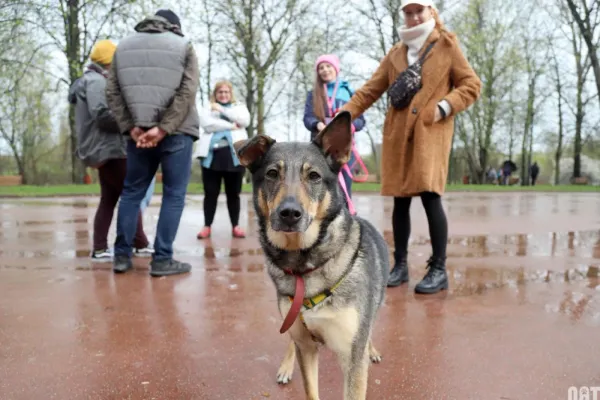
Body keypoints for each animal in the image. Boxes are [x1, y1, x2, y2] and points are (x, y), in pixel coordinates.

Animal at [232, 110, 392, 400]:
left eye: (314, 176)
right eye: (272, 173)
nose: (289, 213)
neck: (303, 262)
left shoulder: (353, 358)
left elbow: (361, 347)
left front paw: (370, 350)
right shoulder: (305, 345)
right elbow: (309, 386)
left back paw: (372, 349)